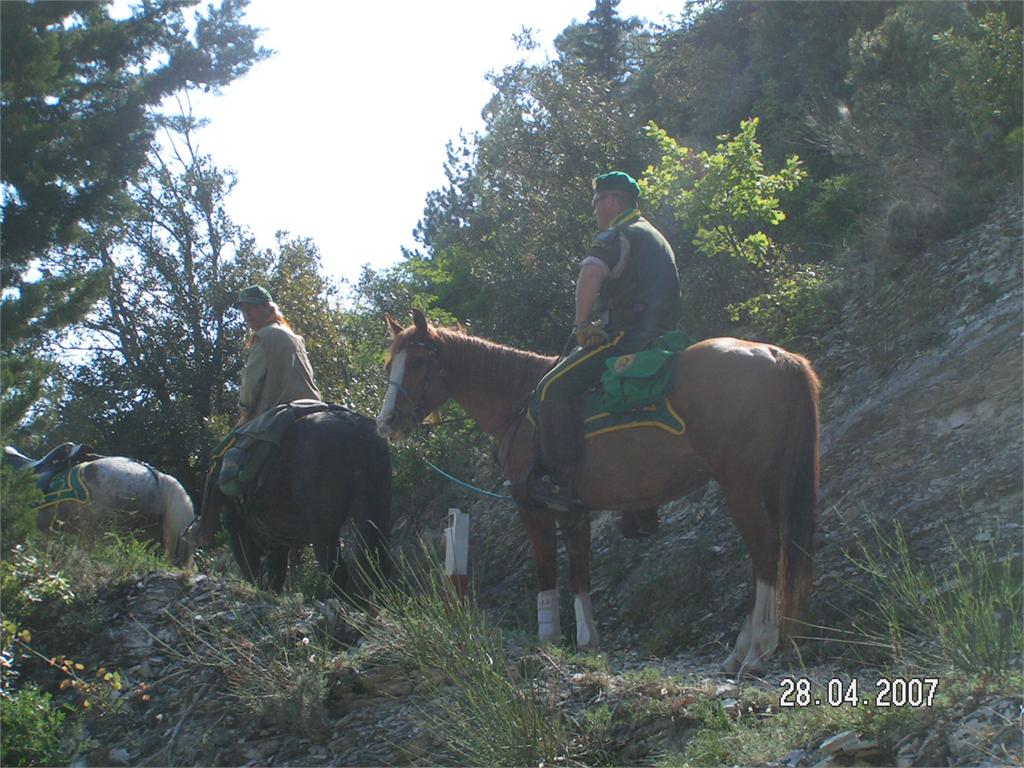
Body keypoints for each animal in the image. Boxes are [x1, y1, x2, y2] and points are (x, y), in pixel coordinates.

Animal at [201, 409, 393, 599]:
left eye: (228, 524)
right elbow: (276, 569)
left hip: (323, 530)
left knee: (336, 569)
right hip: (376, 514)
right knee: (377, 563)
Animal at [376, 309, 820, 675]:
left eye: (418, 362)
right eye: (390, 364)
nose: (387, 422)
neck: (519, 402)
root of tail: (775, 355)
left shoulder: (532, 505)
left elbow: (546, 569)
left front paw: (549, 637)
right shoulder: (573, 509)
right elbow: (580, 569)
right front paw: (588, 639)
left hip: (740, 484)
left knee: (764, 550)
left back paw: (758, 648)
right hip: (768, 485)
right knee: (776, 550)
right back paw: (743, 649)